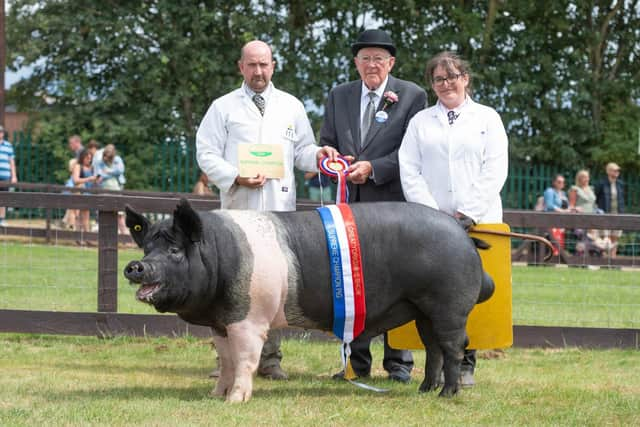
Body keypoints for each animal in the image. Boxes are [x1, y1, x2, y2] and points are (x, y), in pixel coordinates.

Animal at [125, 199, 496, 402]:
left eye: (175, 251)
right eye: (147, 247)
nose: (135, 266)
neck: (220, 256)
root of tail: (462, 232)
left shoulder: (249, 319)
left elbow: (244, 359)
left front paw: (235, 401)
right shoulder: (222, 322)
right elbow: (226, 361)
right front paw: (215, 395)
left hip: (449, 305)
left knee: (452, 348)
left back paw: (447, 394)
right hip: (422, 311)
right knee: (433, 348)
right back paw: (424, 390)